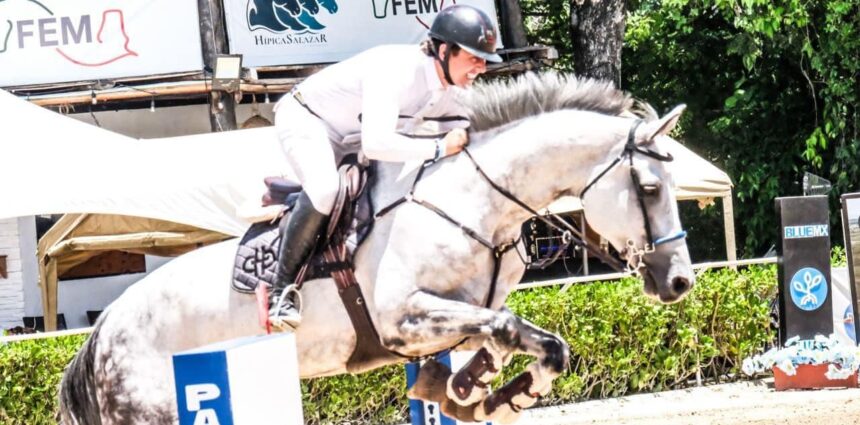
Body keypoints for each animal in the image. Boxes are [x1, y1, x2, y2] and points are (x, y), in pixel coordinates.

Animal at [57, 73, 696, 424]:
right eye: (649, 188)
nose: (679, 281)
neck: (475, 200)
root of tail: (103, 332)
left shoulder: (463, 313)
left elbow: (514, 338)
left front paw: (468, 393)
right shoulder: (403, 317)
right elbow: (510, 329)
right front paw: (490, 396)